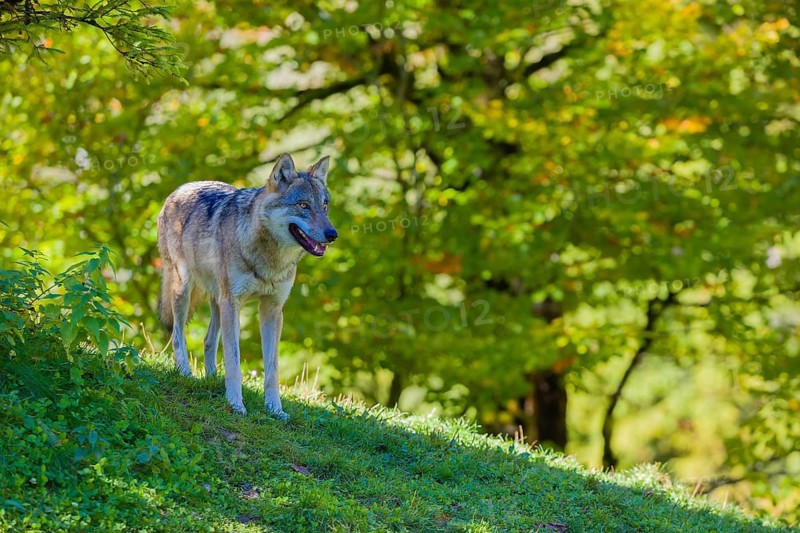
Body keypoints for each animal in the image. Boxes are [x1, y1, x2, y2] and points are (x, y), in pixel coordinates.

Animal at [157, 153, 337, 419]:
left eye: (324, 206)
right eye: (303, 205)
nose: (333, 234)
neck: (269, 259)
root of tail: (180, 189)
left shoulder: (272, 309)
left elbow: (272, 369)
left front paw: (275, 410)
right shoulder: (233, 304)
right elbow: (234, 362)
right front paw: (235, 405)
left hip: (217, 301)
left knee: (208, 341)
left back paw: (212, 379)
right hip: (184, 290)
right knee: (178, 336)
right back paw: (186, 374)